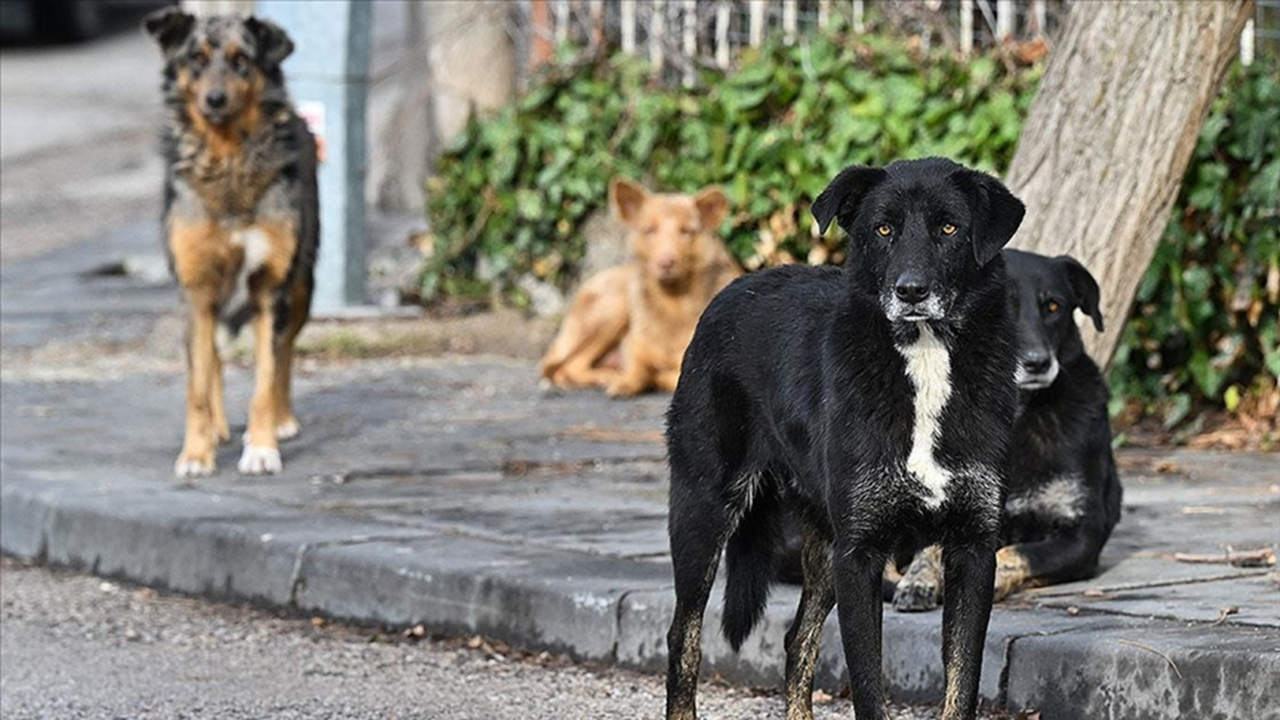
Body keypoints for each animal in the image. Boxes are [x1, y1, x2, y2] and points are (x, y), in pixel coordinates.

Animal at [146, 9, 318, 476]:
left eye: (242, 60)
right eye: (197, 59)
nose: (215, 99)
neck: (227, 160)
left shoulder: (270, 287)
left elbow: (266, 377)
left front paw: (261, 448)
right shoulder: (196, 288)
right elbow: (198, 384)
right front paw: (195, 453)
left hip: (302, 286)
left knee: (285, 351)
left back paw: (283, 420)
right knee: (214, 359)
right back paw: (218, 430)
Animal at [540, 176, 742, 394]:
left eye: (686, 231)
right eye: (649, 230)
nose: (666, 262)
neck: (672, 303)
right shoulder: (635, 345)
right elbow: (639, 367)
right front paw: (628, 380)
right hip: (612, 308)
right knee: (567, 366)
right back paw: (605, 376)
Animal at [665, 158, 1024, 717]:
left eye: (949, 228)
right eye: (883, 229)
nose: (911, 291)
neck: (924, 358)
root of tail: (734, 288)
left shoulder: (972, 549)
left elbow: (961, 684)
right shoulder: (859, 555)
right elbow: (869, 686)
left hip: (821, 536)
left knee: (797, 641)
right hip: (703, 508)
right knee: (684, 638)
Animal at [890, 249, 1121, 607]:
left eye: (1053, 306)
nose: (1037, 363)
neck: (1018, 415)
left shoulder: (1082, 533)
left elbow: (1017, 553)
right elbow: (930, 548)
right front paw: (919, 579)